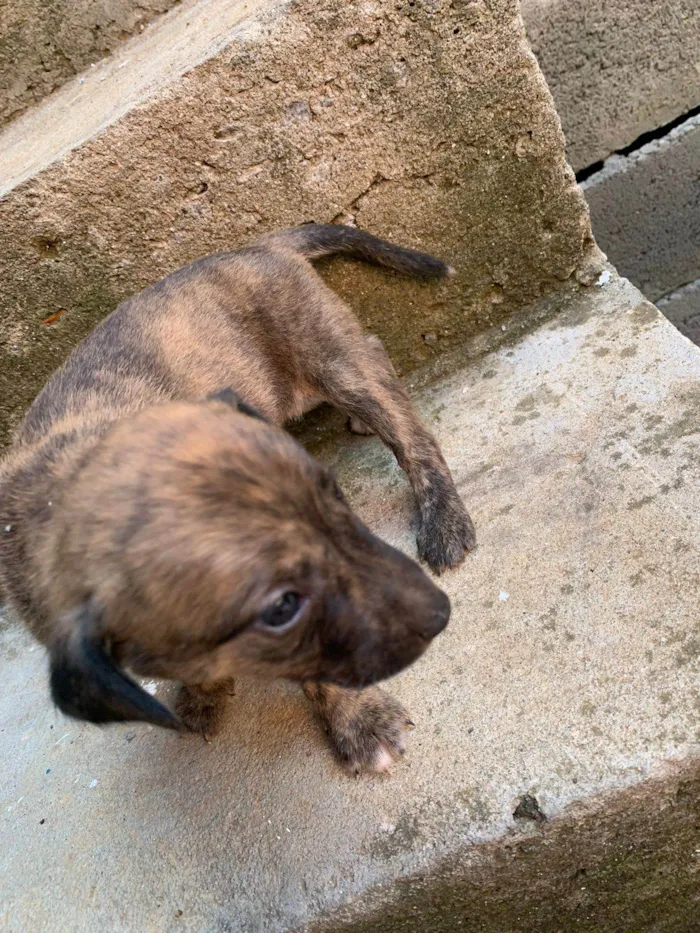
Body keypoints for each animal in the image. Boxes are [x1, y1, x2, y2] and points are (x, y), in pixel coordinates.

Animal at [0, 226, 476, 772]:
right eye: (280, 607)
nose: (436, 614)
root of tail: (262, 245)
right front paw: (202, 695)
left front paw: (360, 722)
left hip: (328, 356)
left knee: (398, 416)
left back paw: (442, 518)